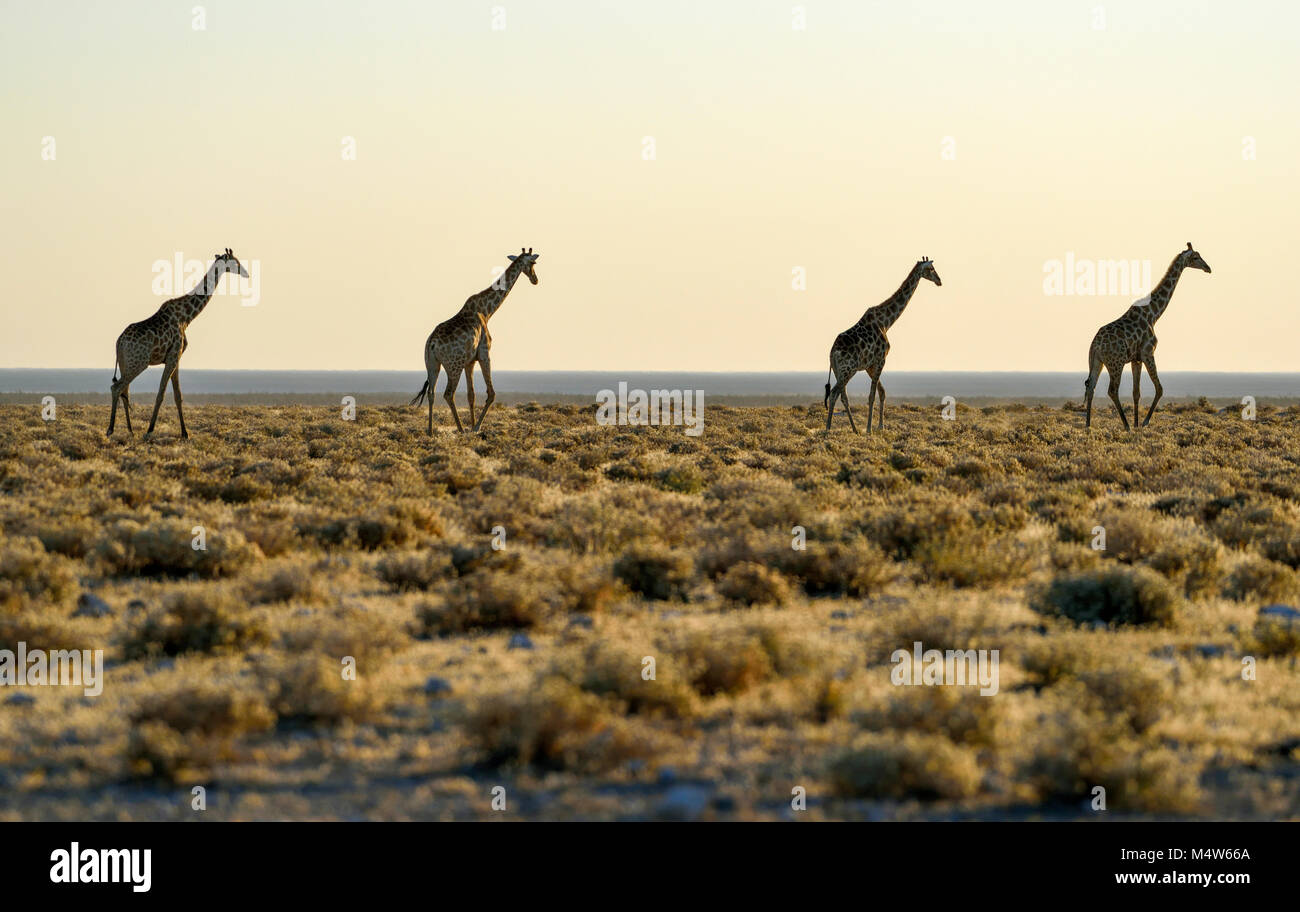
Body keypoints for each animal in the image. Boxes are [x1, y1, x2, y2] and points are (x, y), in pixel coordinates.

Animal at [107, 246, 248, 439]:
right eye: (236, 262)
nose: (246, 273)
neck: (186, 317)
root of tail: (119, 342)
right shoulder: (174, 354)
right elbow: (161, 393)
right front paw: (150, 430)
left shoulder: (176, 357)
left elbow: (177, 395)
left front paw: (184, 432)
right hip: (139, 362)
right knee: (117, 387)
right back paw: (110, 429)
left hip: (125, 363)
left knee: (124, 390)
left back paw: (130, 430)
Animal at [413, 248, 540, 433]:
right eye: (533, 262)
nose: (535, 279)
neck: (487, 311)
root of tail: (432, 344)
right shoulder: (484, 353)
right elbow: (491, 393)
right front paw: (476, 427)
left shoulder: (470, 361)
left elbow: (471, 395)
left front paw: (473, 424)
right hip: (454, 366)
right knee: (448, 393)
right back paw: (460, 429)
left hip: (432, 364)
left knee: (431, 393)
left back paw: (430, 431)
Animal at [826, 253, 941, 431]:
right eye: (931, 268)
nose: (939, 281)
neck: (886, 322)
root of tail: (832, 352)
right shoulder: (881, 359)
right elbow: (872, 395)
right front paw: (869, 429)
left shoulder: (870, 365)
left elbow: (882, 392)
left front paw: (880, 426)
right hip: (848, 369)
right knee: (834, 393)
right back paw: (828, 429)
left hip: (841, 371)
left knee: (843, 396)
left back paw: (854, 429)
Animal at [1081, 241, 1211, 431]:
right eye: (1195, 257)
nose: (1208, 268)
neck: (1154, 314)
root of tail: (1096, 344)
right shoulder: (1148, 352)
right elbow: (1160, 388)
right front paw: (1143, 422)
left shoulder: (1136, 359)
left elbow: (1137, 393)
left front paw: (1137, 424)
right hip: (1115, 362)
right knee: (1112, 390)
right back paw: (1125, 425)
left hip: (1096, 361)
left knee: (1091, 387)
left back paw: (1088, 425)